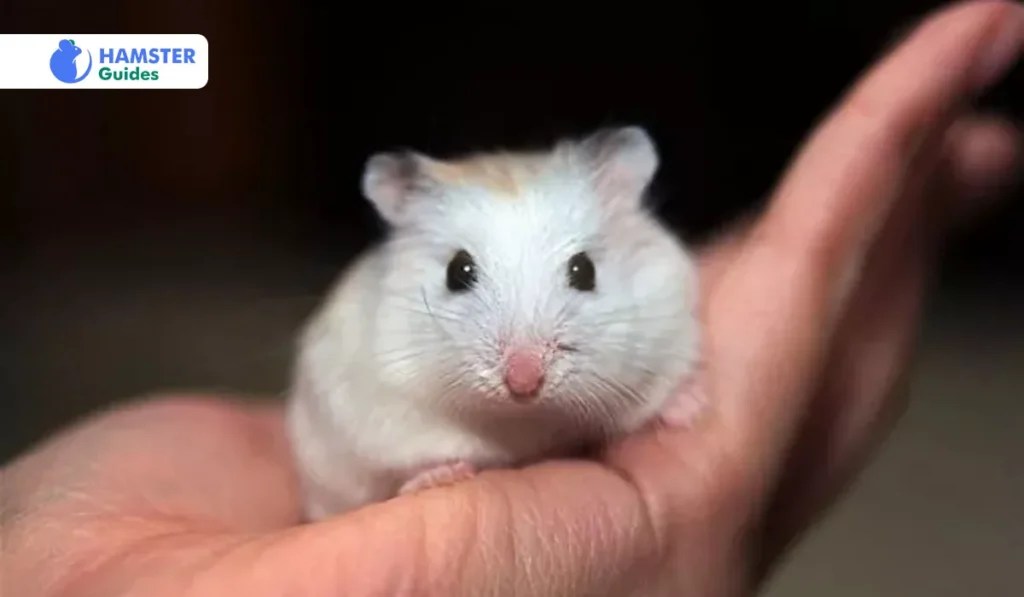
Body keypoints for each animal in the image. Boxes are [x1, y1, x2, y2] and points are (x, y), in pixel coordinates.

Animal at [285, 125, 703, 520]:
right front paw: (439, 476)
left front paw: (691, 407)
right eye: (458, 271)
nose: (524, 383)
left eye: (585, 270)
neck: (523, 417)